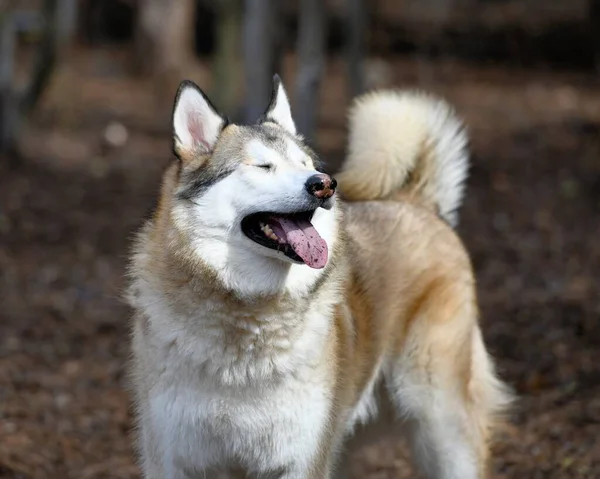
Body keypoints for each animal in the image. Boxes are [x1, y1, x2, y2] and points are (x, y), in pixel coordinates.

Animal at [126, 75, 510, 479]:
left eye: (304, 163)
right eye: (263, 166)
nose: (325, 183)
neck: (249, 317)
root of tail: (417, 201)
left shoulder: (300, 460)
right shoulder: (173, 459)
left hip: (439, 423)